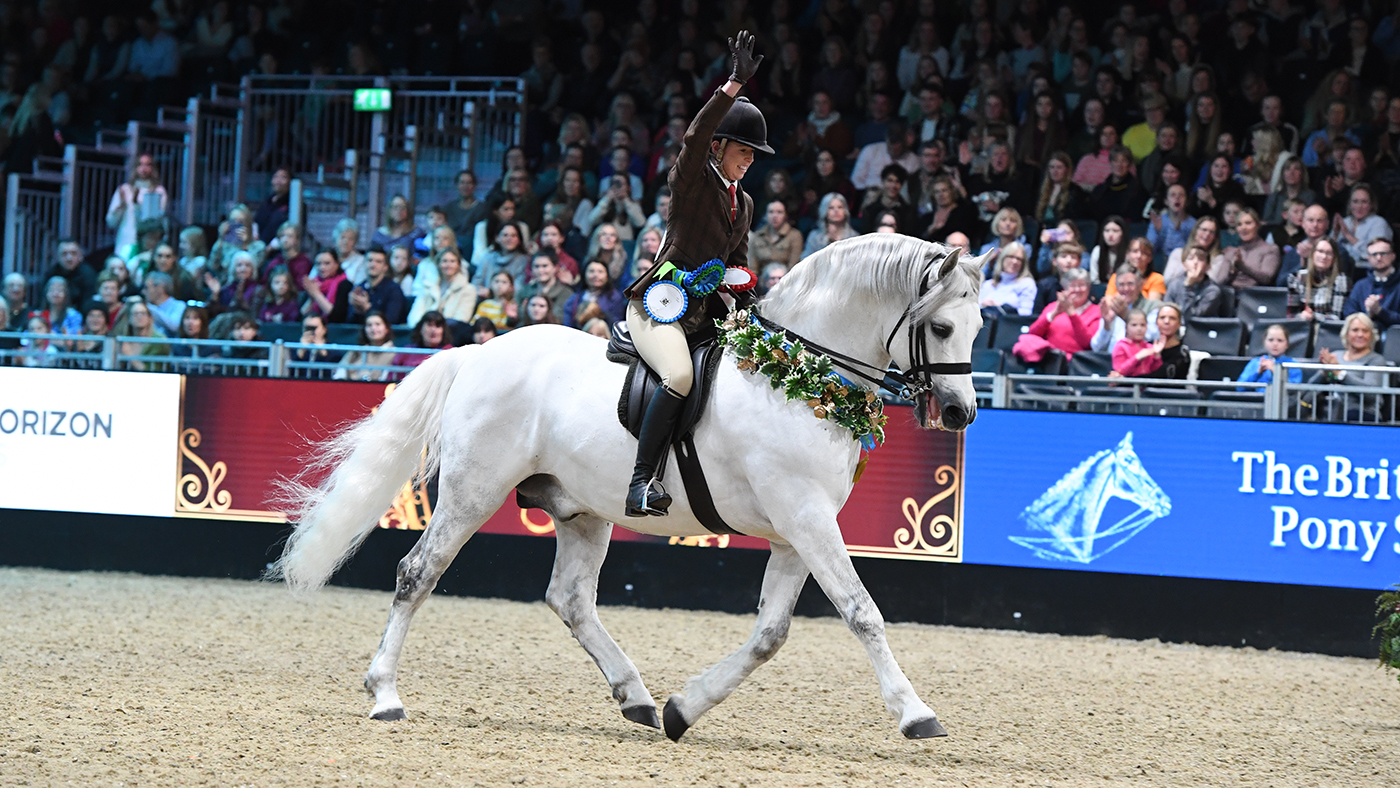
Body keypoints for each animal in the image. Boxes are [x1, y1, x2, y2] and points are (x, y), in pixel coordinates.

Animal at [270, 233, 985, 742]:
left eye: (980, 327)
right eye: (942, 327)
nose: (960, 413)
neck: (795, 376)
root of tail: (478, 351)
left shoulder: (795, 532)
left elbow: (769, 635)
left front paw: (683, 709)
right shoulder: (807, 519)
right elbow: (862, 613)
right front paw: (916, 714)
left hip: (582, 509)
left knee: (570, 599)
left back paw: (637, 698)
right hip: (473, 493)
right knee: (418, 573)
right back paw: (385, 694)